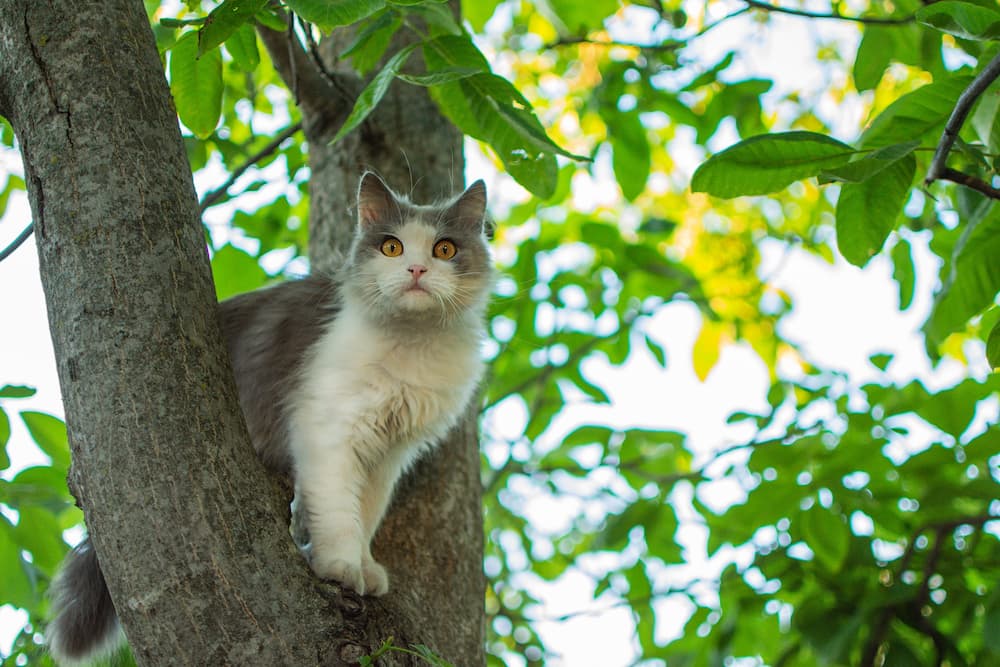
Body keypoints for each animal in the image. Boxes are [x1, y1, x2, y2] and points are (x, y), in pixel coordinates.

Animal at [47, 172, 492, 664]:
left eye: (444, 250)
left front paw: (366, 566)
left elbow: (367, 512)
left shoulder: (388, 451)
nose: (416, 271)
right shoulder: (327, 429)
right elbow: (339, 511)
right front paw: (340, 566)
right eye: (391, 247)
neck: (413, 343)